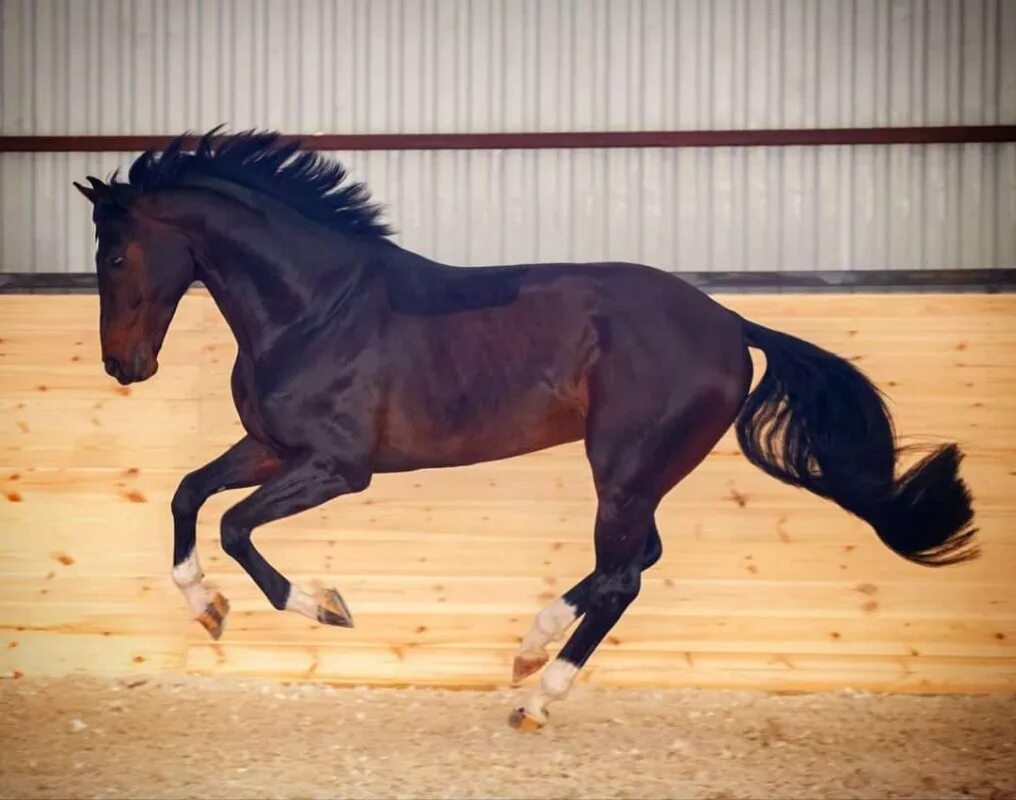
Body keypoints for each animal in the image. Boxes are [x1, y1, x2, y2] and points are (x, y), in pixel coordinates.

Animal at [71, 126, 975, 731]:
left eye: (114, 256)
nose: (123, 366)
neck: (315, 308)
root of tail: (729, 323)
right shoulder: (270, 449)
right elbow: (189, 496)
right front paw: (208, 609)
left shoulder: (335, 466)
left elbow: (232, 524)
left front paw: (323, 606)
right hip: (636, 476)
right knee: (632, 560)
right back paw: (530, 651)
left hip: (623, 468)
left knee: (623, 577)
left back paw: (539, 697)